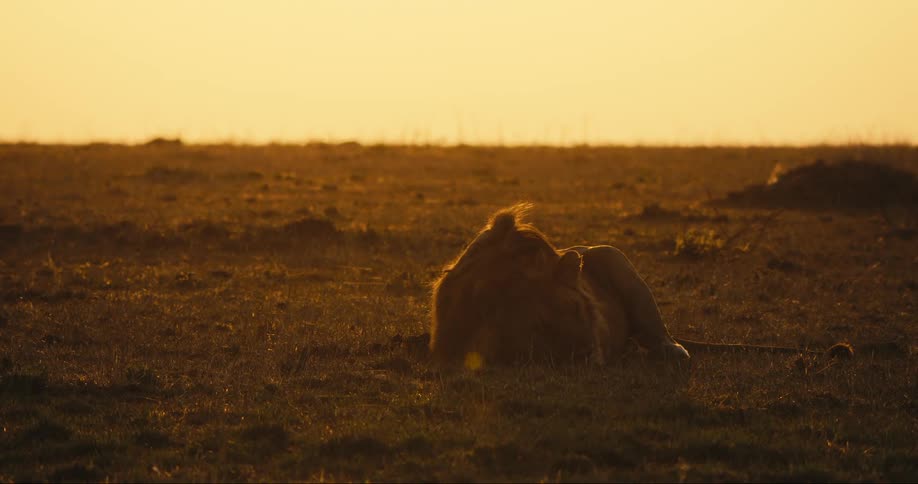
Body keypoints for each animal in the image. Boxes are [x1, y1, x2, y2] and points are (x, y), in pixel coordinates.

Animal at [430, 203, 690, 367]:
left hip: (617, 260)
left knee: (657, 332)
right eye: (541, 324)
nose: (588, 353)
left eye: (577, 308)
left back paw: (674, 351)